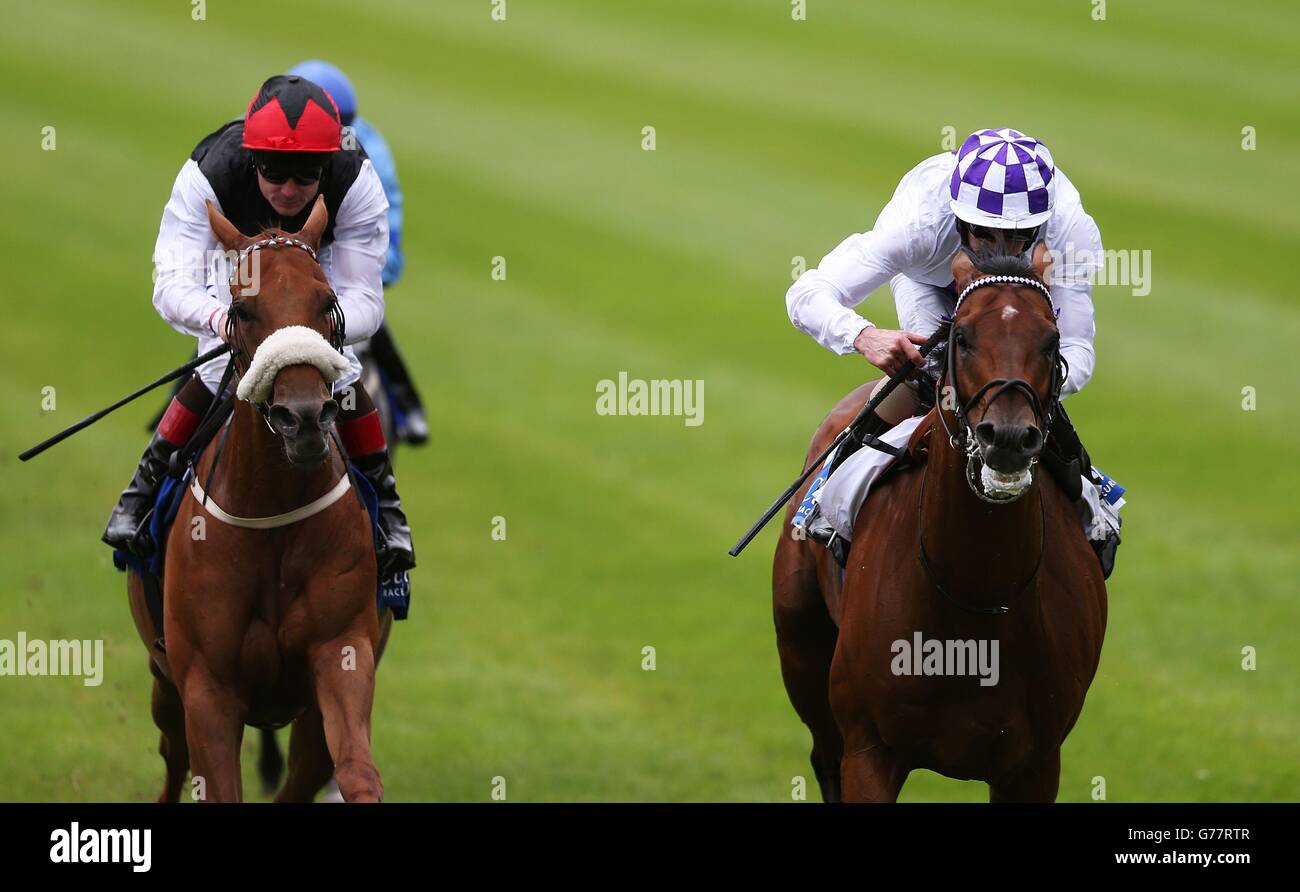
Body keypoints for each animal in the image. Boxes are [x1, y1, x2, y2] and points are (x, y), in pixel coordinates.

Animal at [126, 198, 390, 806]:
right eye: (243, 310)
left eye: (327, 301)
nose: (305, 418)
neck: (271, 512)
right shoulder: (206, 687)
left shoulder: (342, 653)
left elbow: (357, 774)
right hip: (164, 684)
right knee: (173, 761)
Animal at [769, 249, 1107, 806]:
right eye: (963, 337)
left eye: (1050, 340)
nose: (1007, 437)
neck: (976, 595)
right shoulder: (870, 749)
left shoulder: (1035, 766)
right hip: (803, 649)